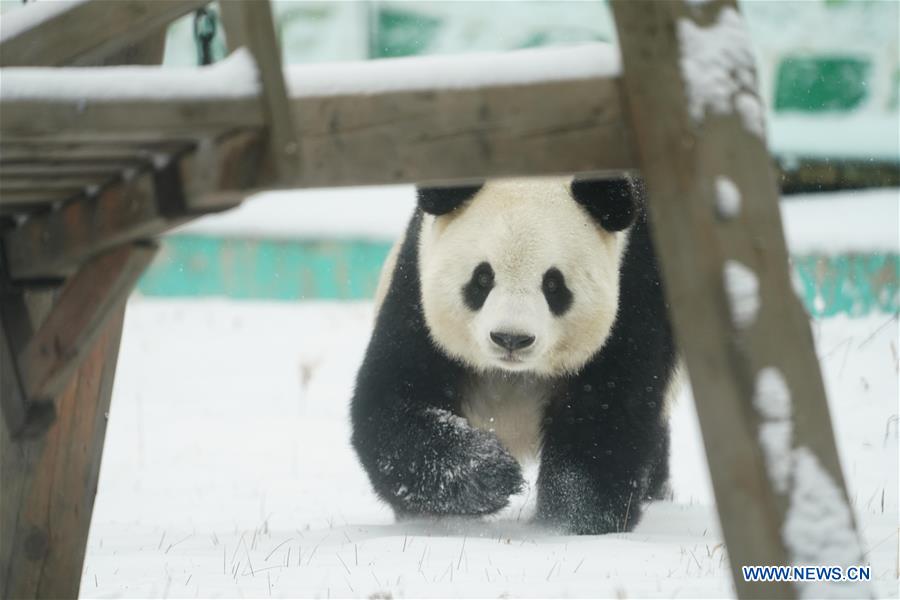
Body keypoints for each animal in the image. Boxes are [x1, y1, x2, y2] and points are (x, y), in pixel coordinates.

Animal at [352, 175, 676, 536]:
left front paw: (573, 519)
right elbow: (394, 403)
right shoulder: (415, 293)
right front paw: (489, 474)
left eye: (553, 284)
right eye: (482, 277)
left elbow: (606, 413)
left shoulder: (635, 290)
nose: (511, 338)